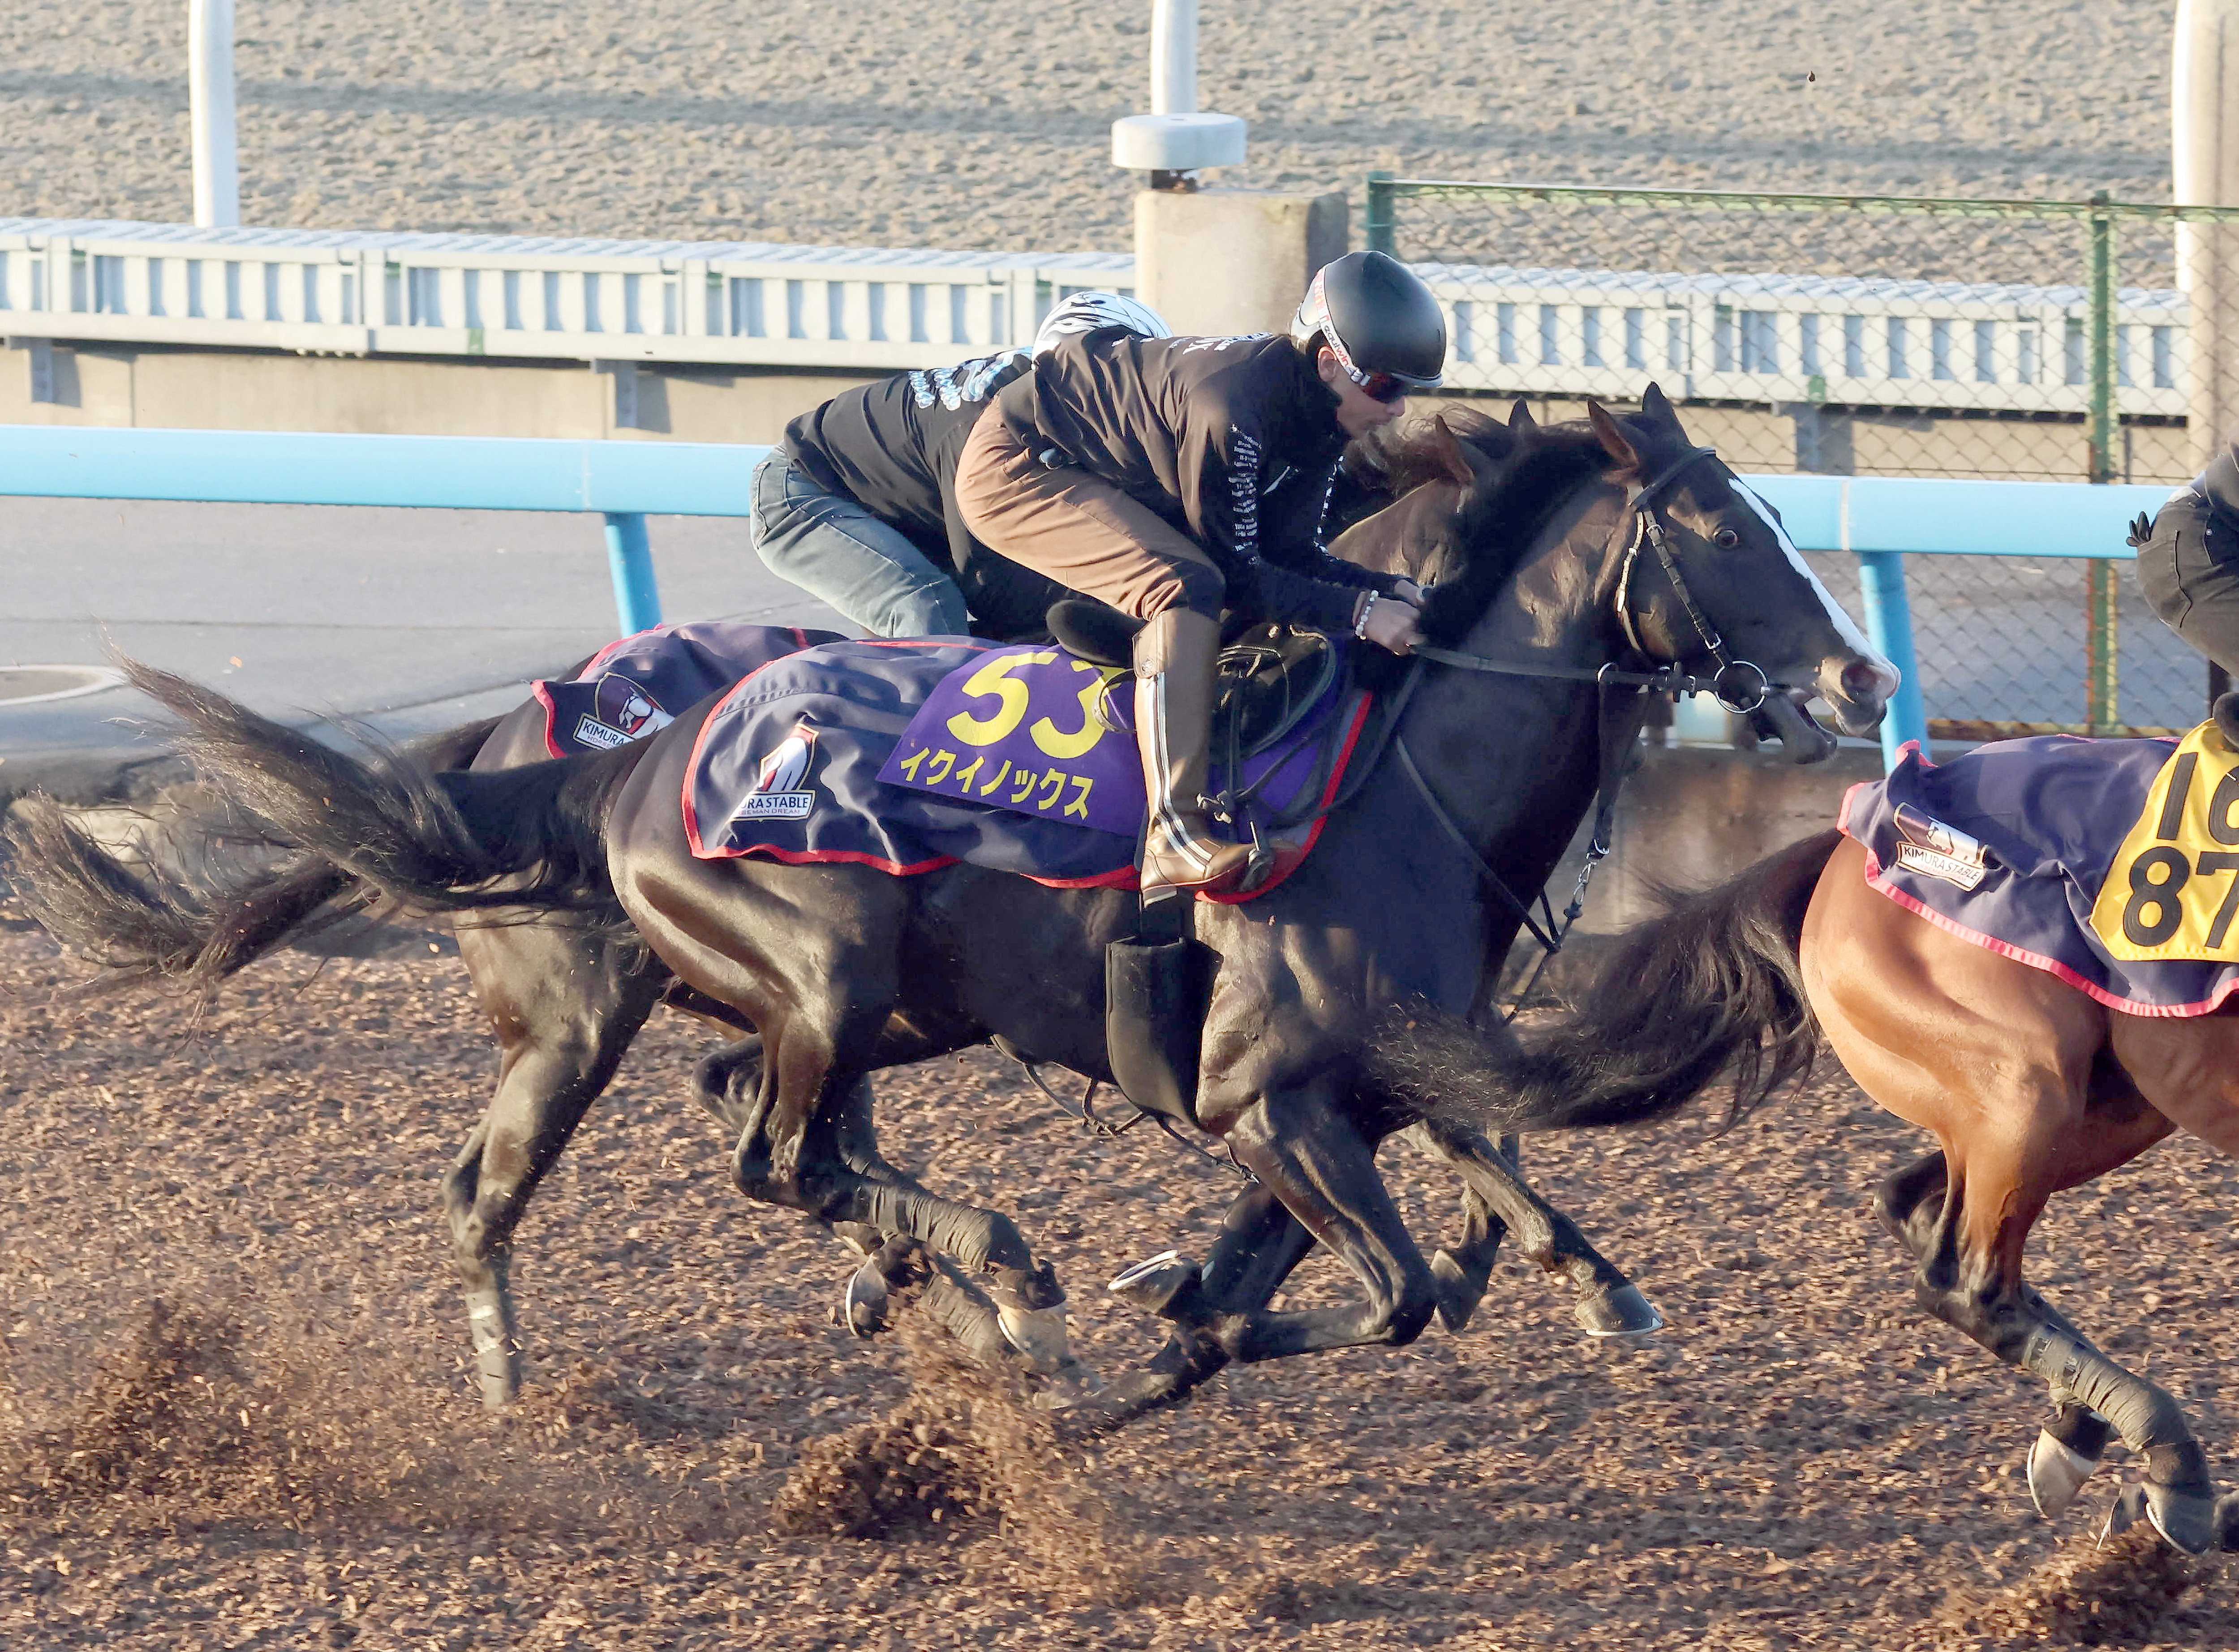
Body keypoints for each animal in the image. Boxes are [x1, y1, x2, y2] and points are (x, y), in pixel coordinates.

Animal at [9, 389, 1899, 1415]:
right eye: (1725, 527)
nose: (1859, 677)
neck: (1380, 775)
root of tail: (608, 748)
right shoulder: (1260, 1089)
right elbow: (1397, 1280)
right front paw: (1151, 1322)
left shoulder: (1372, 1072)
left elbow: (1466, 1202)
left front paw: (1570, 1280)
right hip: (772, 979)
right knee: (719, 1159)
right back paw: (952, 1281)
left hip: (853, 1002)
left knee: (735, 1134)